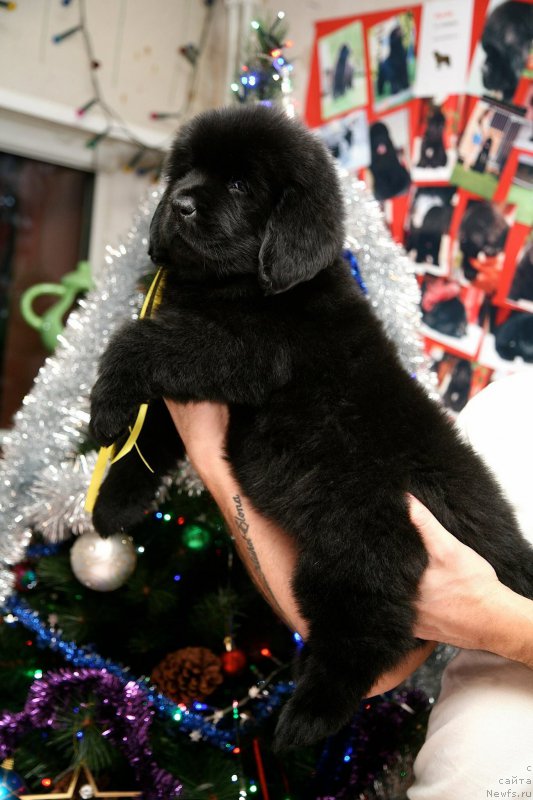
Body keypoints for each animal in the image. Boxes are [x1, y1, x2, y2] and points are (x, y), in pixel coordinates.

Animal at [90, 106, 532, 752]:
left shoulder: (240, 350)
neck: (243, 286)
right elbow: (149, 439)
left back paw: (308, 717)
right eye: (185, 171)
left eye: (240, 185)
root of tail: (506, 543)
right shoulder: (195, 394)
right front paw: (113, 503)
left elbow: (137, 340)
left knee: (373, 623)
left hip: (359, 537)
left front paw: (102, 404)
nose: (180, 204)